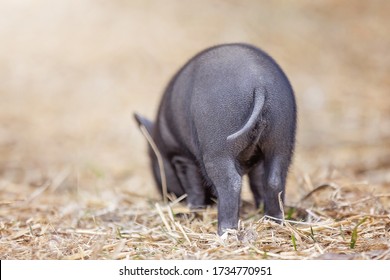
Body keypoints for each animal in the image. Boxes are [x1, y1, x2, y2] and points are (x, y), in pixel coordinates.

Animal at [134, 43, 296, 236]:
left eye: (153, 162)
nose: (166, 196)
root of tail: (259, 85)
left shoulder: (182, 157)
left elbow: (193, 186)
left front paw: (193, 210)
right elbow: (257, 182)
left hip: (218, 145)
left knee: (231, 182)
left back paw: (224, 232)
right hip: (281, 139)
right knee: (274, 180)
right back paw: (274, 222)